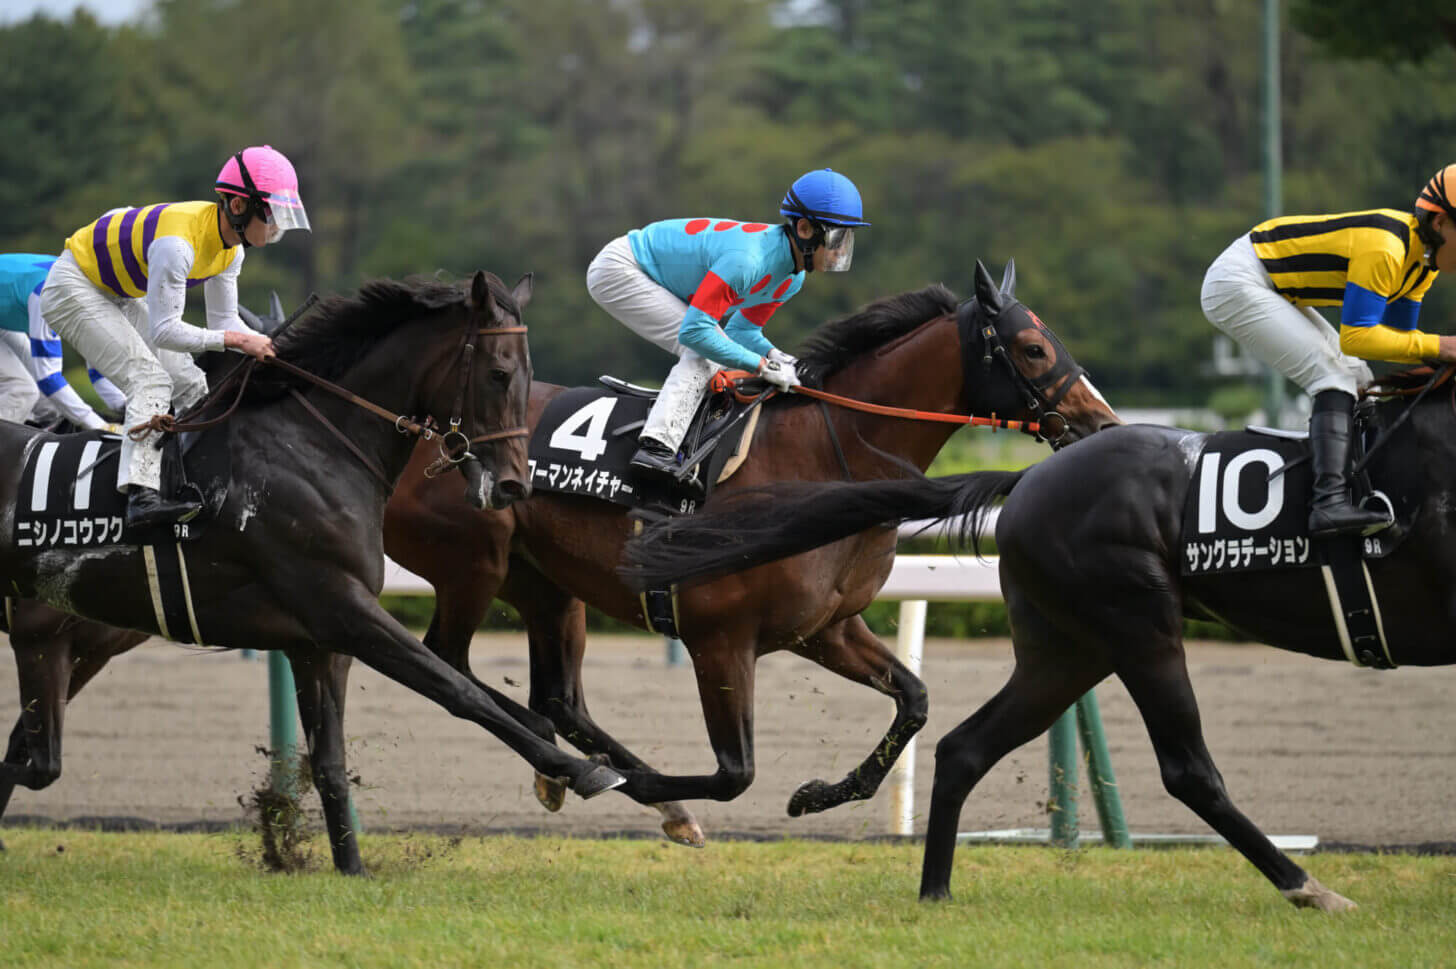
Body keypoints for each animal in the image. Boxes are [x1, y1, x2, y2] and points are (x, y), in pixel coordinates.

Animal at [620, 369, 1456, 907]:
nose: (1087, 414)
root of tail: (1026, 480)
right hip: (1137, 623)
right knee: (1189, 768)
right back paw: (1308, 885)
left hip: (1072, 645)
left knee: (964, 745)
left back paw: (935, 889)